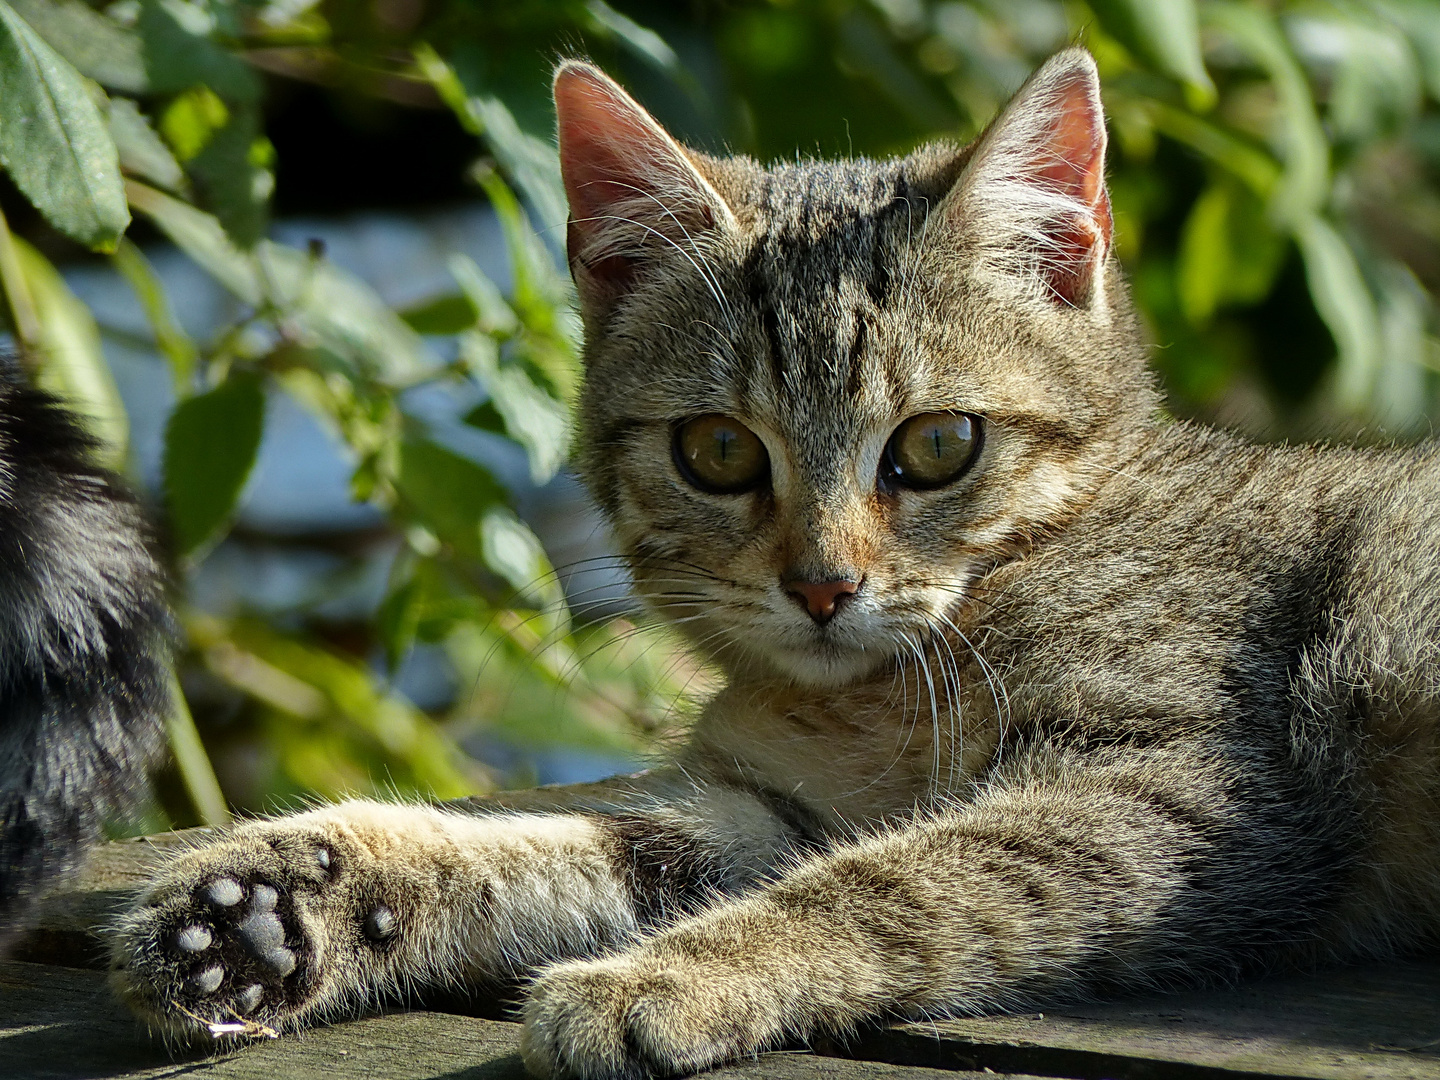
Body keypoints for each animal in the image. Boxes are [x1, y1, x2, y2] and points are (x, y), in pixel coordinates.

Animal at [109, 46, 1440, 1077]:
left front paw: (663, 979)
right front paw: (272, 906)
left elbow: (898, 882)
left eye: (939, 446)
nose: (821, 587)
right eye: (717, 452)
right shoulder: (768, 809)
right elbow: (550, 845)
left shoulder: (1188, 788)